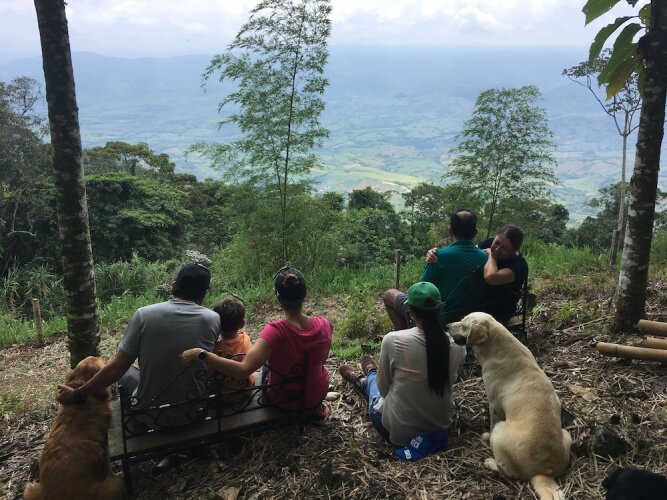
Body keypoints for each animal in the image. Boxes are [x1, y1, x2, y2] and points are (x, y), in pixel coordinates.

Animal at [449, 312, 572, 500]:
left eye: (463, 325)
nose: (446, 326)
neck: (495, 347)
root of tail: (544, 473)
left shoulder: (493, 405)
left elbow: (491, 424)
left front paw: (485, 436)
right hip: (566, 434)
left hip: (500, 433)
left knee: (507, 472)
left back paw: (490, 462)